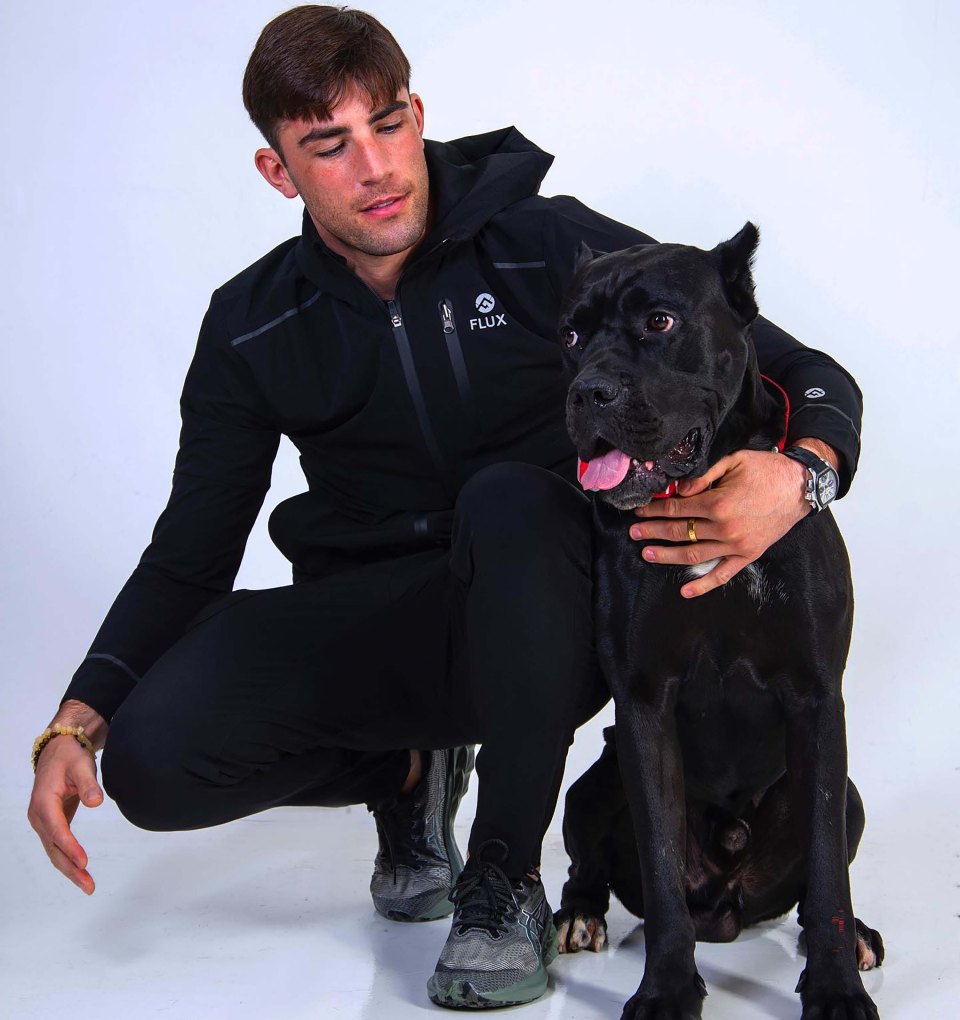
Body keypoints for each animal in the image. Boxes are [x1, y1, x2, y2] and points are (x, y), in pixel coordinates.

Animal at [559, 225, 881, 1020]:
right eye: (571, 336)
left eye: (660, 322)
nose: (587, 392)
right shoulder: (644, 705)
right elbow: (661, 863)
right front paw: (667, 990)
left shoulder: (816, 697)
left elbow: (827, 873)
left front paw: (836, 988)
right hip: (593, 785)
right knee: (592, 861)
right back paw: (577, 913)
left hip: (851, 793)